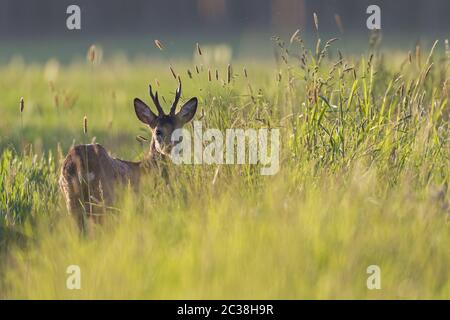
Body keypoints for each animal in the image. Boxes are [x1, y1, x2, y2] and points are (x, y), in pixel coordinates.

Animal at [58, 82, 197, 228]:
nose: (170, 148)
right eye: (158, 131)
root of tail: (76, 164)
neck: (147, 168)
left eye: (179, 131)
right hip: (102, 200)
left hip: (71, 201)